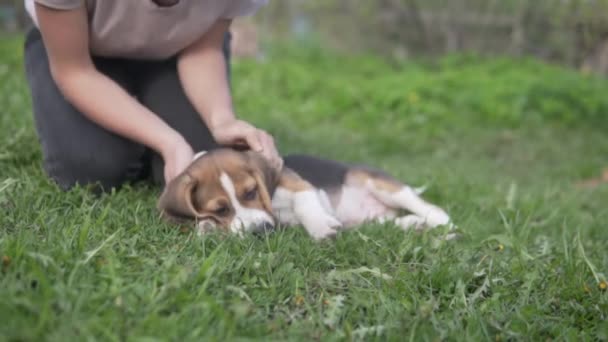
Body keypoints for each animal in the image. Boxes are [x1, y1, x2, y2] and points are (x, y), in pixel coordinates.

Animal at [157, 150, 452, 240]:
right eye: (220, 209)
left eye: (251, 192)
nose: (261, 231)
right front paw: (206, 226)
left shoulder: (299, 186)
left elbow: (304, 204)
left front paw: (321, 227)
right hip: (374, 221)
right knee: (393, 221)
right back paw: (414, 225)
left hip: (382, 186)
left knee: (437, 211)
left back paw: (443, 228)